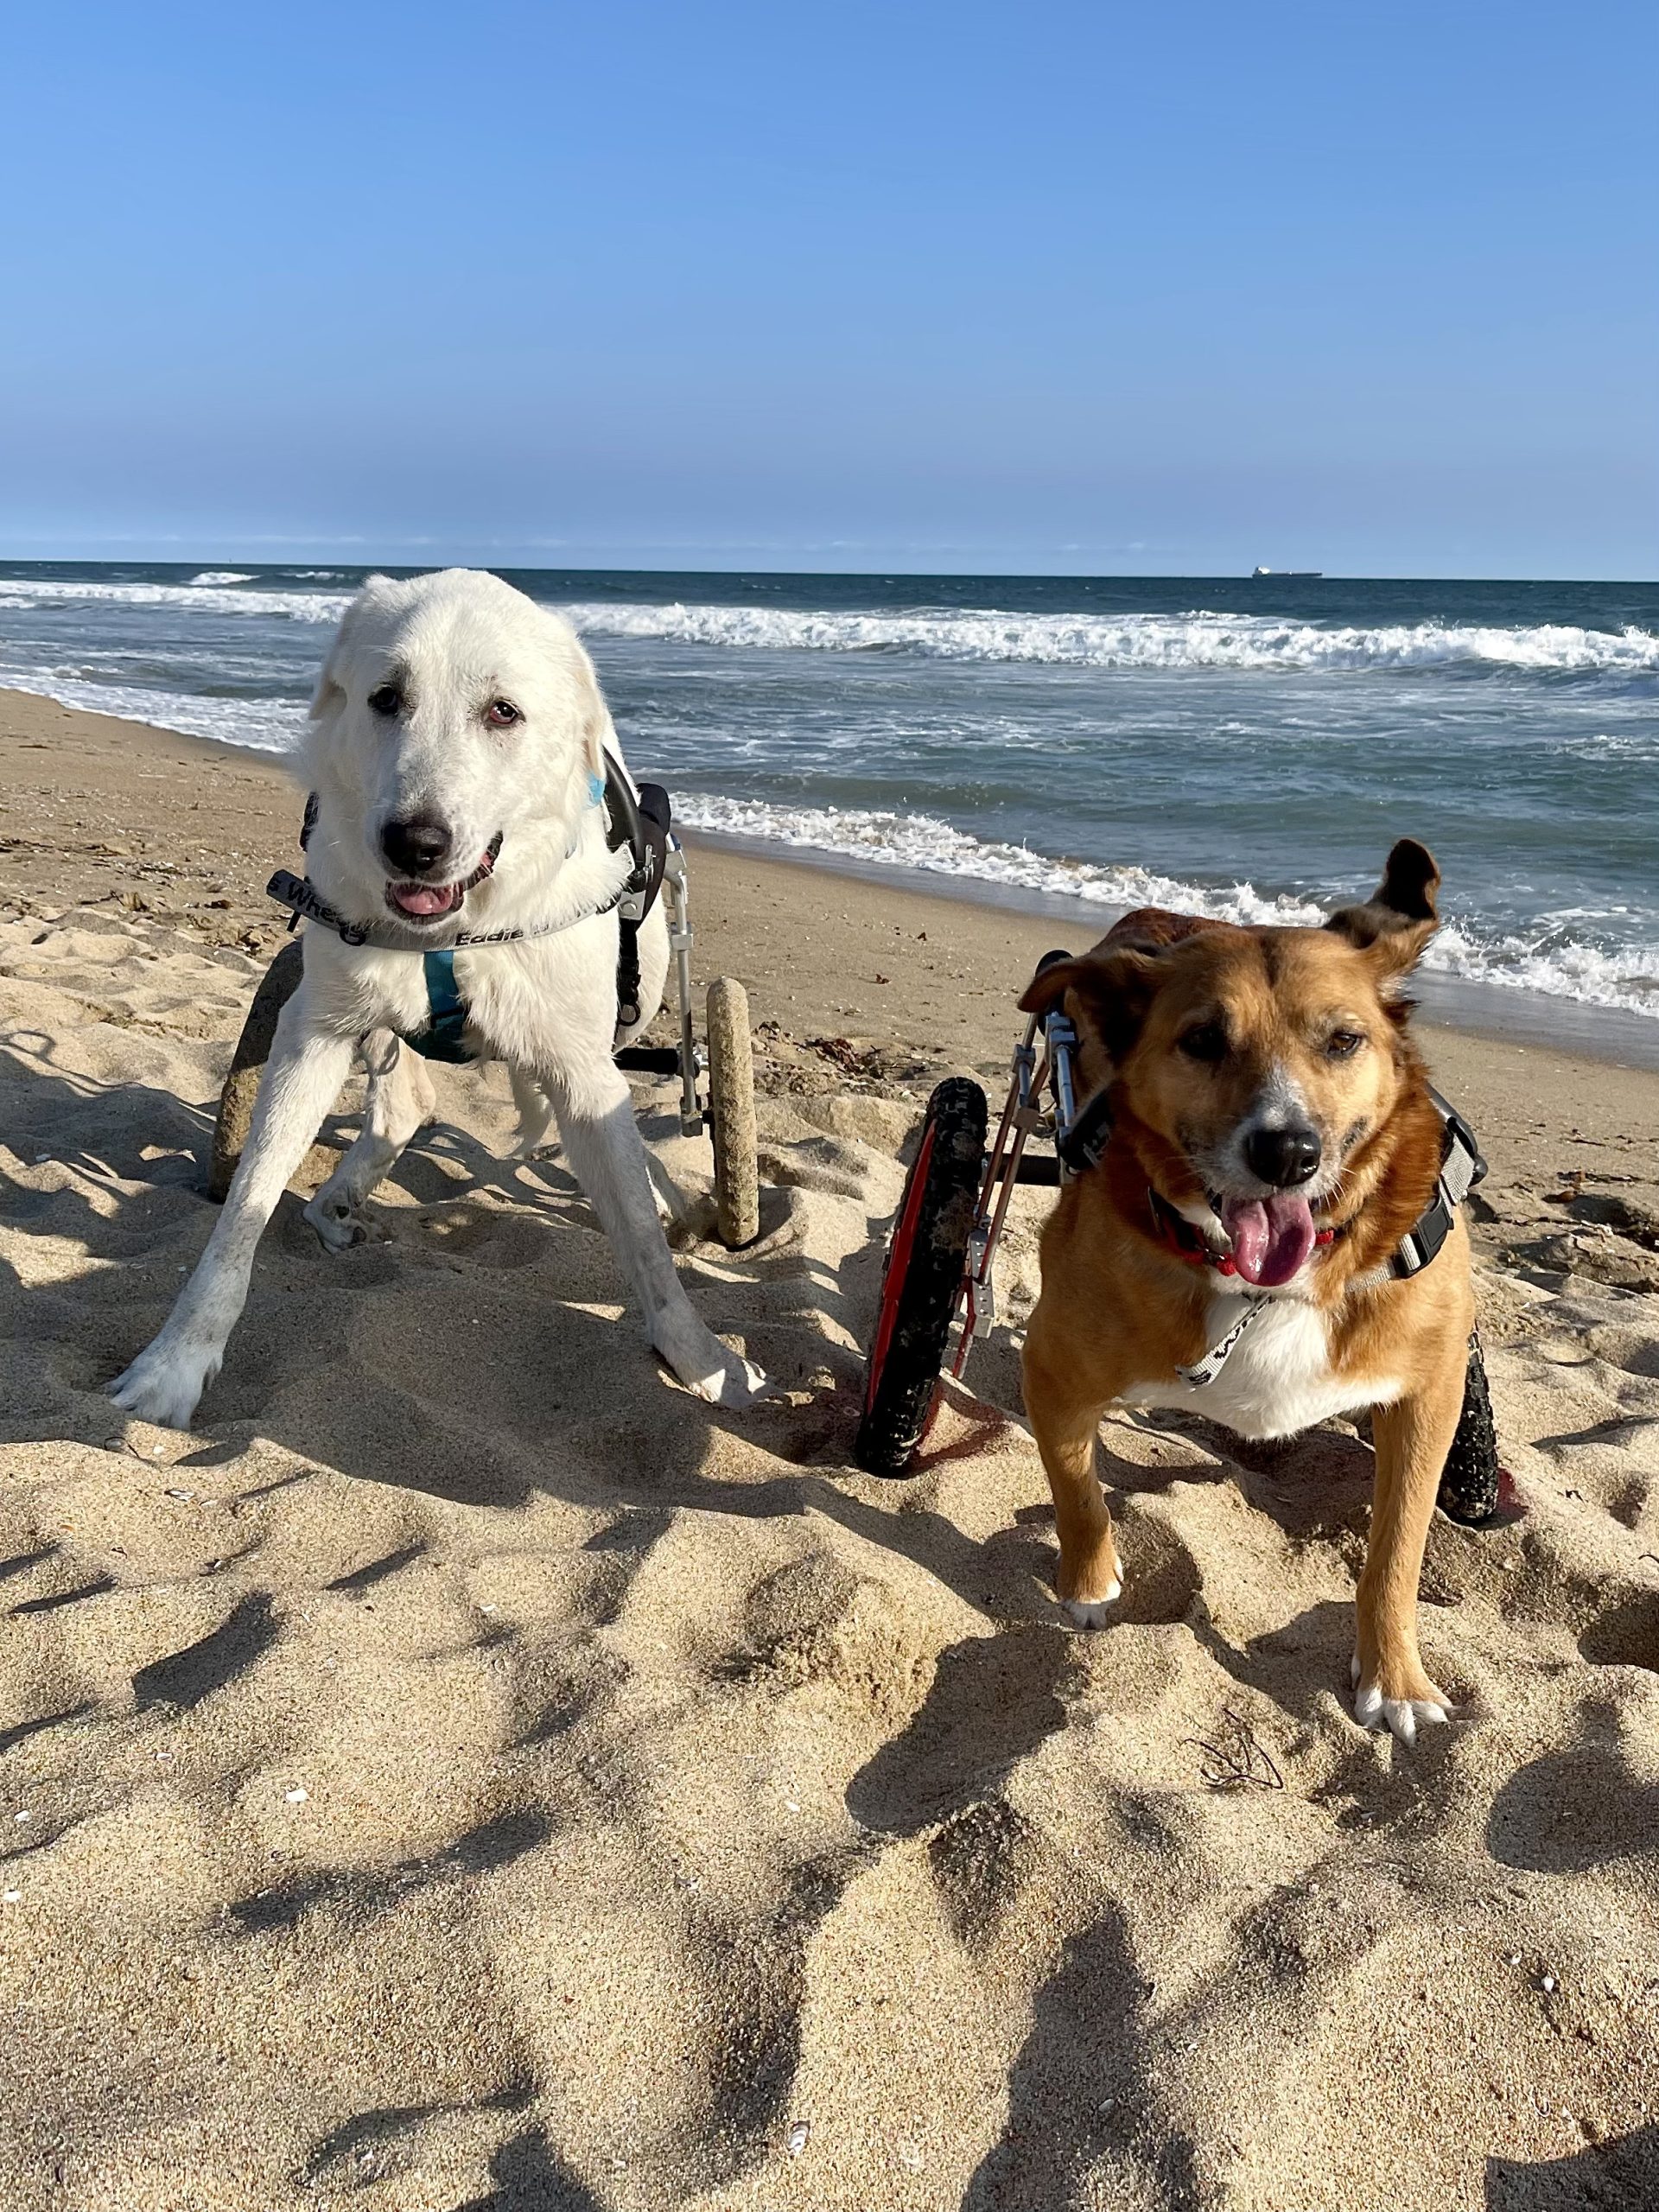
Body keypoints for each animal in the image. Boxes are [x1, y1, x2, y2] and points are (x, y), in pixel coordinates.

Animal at [111, 566, 774, 1433]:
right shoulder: (313, 1034)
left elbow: (638, 1229)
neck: (456, 931)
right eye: (387, 698)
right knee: (403, 1104)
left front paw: (703, 1362)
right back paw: (339, 1200)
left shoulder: (582, 1071)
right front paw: (176, 1361)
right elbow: (245, 1204)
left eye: (503, 711)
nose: (415, 845)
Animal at [1026, 836, 1478, 1734]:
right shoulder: (1049, 1365)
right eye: (1203, 1039)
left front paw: (1396, 1678)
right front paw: (1089, 1586)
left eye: (1343, 1041)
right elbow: (1077, 1486)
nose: (1288, 1153)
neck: (1268, 1286)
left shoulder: (1430, 1396)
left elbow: (1396, 1552)